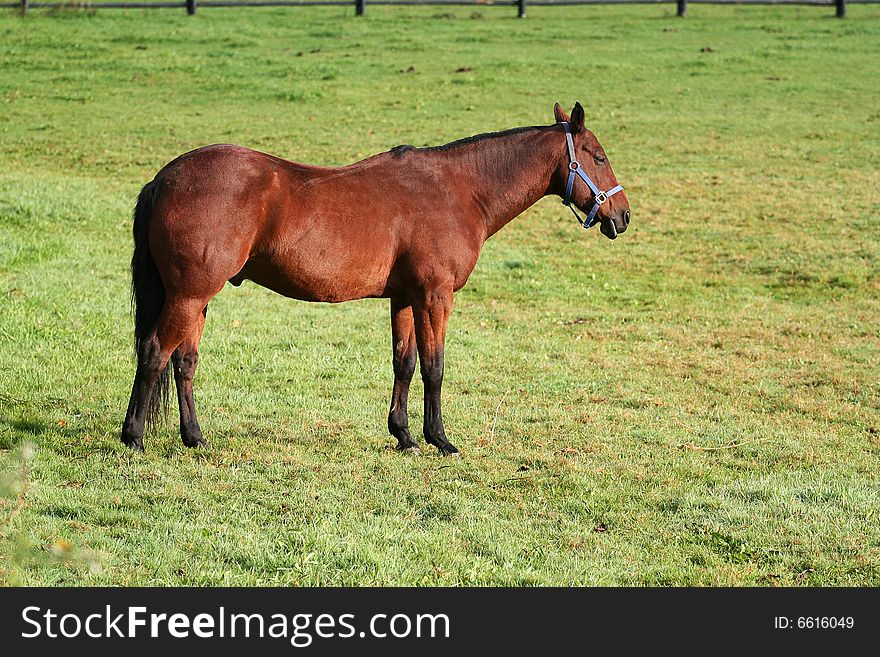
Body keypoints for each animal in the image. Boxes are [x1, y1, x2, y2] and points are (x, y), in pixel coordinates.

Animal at [125, 102, 632, 454]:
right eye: (598, 157)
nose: (623, 216)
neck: (459, 190)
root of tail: (165, 179)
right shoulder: (435, 296)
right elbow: (434, 367)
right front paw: (439, 439)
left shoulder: (405, 297)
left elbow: (404, 364)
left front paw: (404, 435)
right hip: (189, 295)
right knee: (154, 352)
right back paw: (133, 437)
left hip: (196, 298)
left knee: (183, 361)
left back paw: (194, 437)